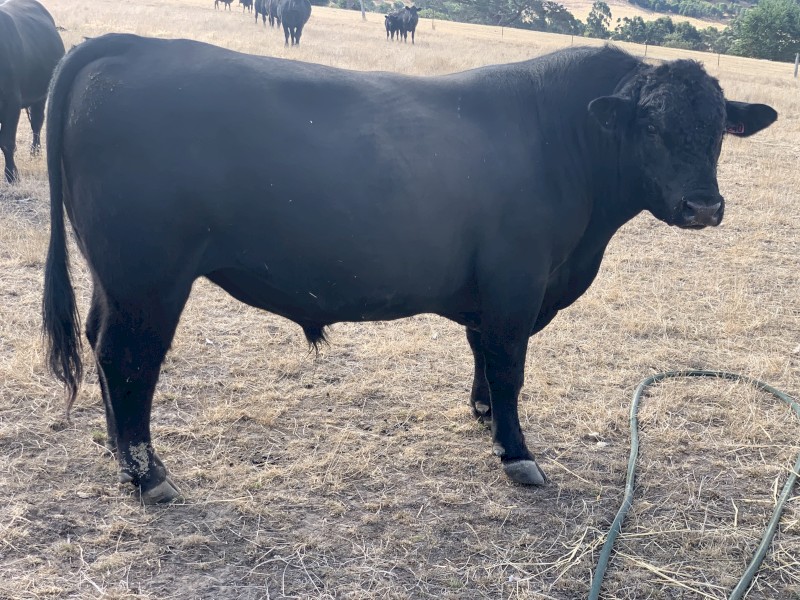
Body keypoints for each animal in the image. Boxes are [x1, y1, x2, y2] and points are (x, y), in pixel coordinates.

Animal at [0, 0, 64, 183]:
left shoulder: (12, 101)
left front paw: (11, 175)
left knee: (37, 122)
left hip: (41, 97)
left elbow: (6, 141)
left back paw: (35, 153)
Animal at [43, 35, 777, 504]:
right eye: (650, 125)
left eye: (718, 129)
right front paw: (517, 452)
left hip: (119, 277)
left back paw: (125, 461)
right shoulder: (517, 283)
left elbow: (484, 357)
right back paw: (149, 475)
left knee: (102, 345)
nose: (704, 206)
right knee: (128, 358)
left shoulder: (492, 290)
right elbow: (510, 365)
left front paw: (484, 417)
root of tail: (132, 43)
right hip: (150, 276)